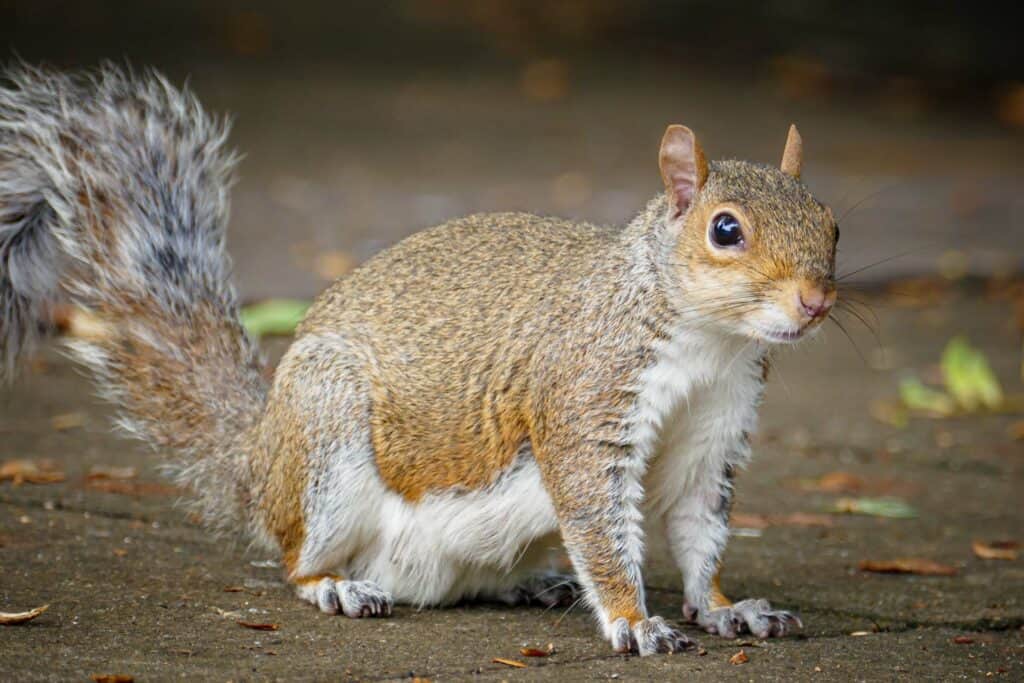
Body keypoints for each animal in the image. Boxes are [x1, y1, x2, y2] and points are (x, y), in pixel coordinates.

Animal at [0, 65, 838, 656]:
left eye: (831, 223)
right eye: (725, 230)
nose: (816, 301)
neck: (709, 343)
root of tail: (256, 464)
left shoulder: (713, 433)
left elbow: (699, 530)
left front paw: (727, 608)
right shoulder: (584, 400)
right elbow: (600, 523)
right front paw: (635, 620)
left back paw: (530, 585)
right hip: (326, 434)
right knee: (295, 559)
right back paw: (337, 586)